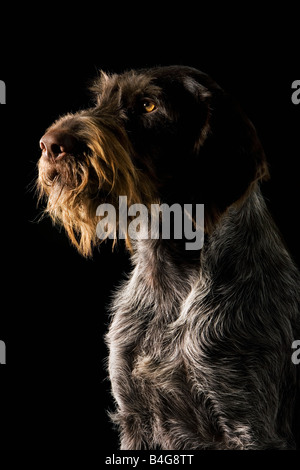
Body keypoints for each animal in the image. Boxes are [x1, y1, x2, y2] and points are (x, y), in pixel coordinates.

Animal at [37, 64, 300, 450]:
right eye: (100, 100)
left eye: (148, 106)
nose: (51, 143)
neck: (169, 274)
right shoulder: (134, 415)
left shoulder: (247, 423)